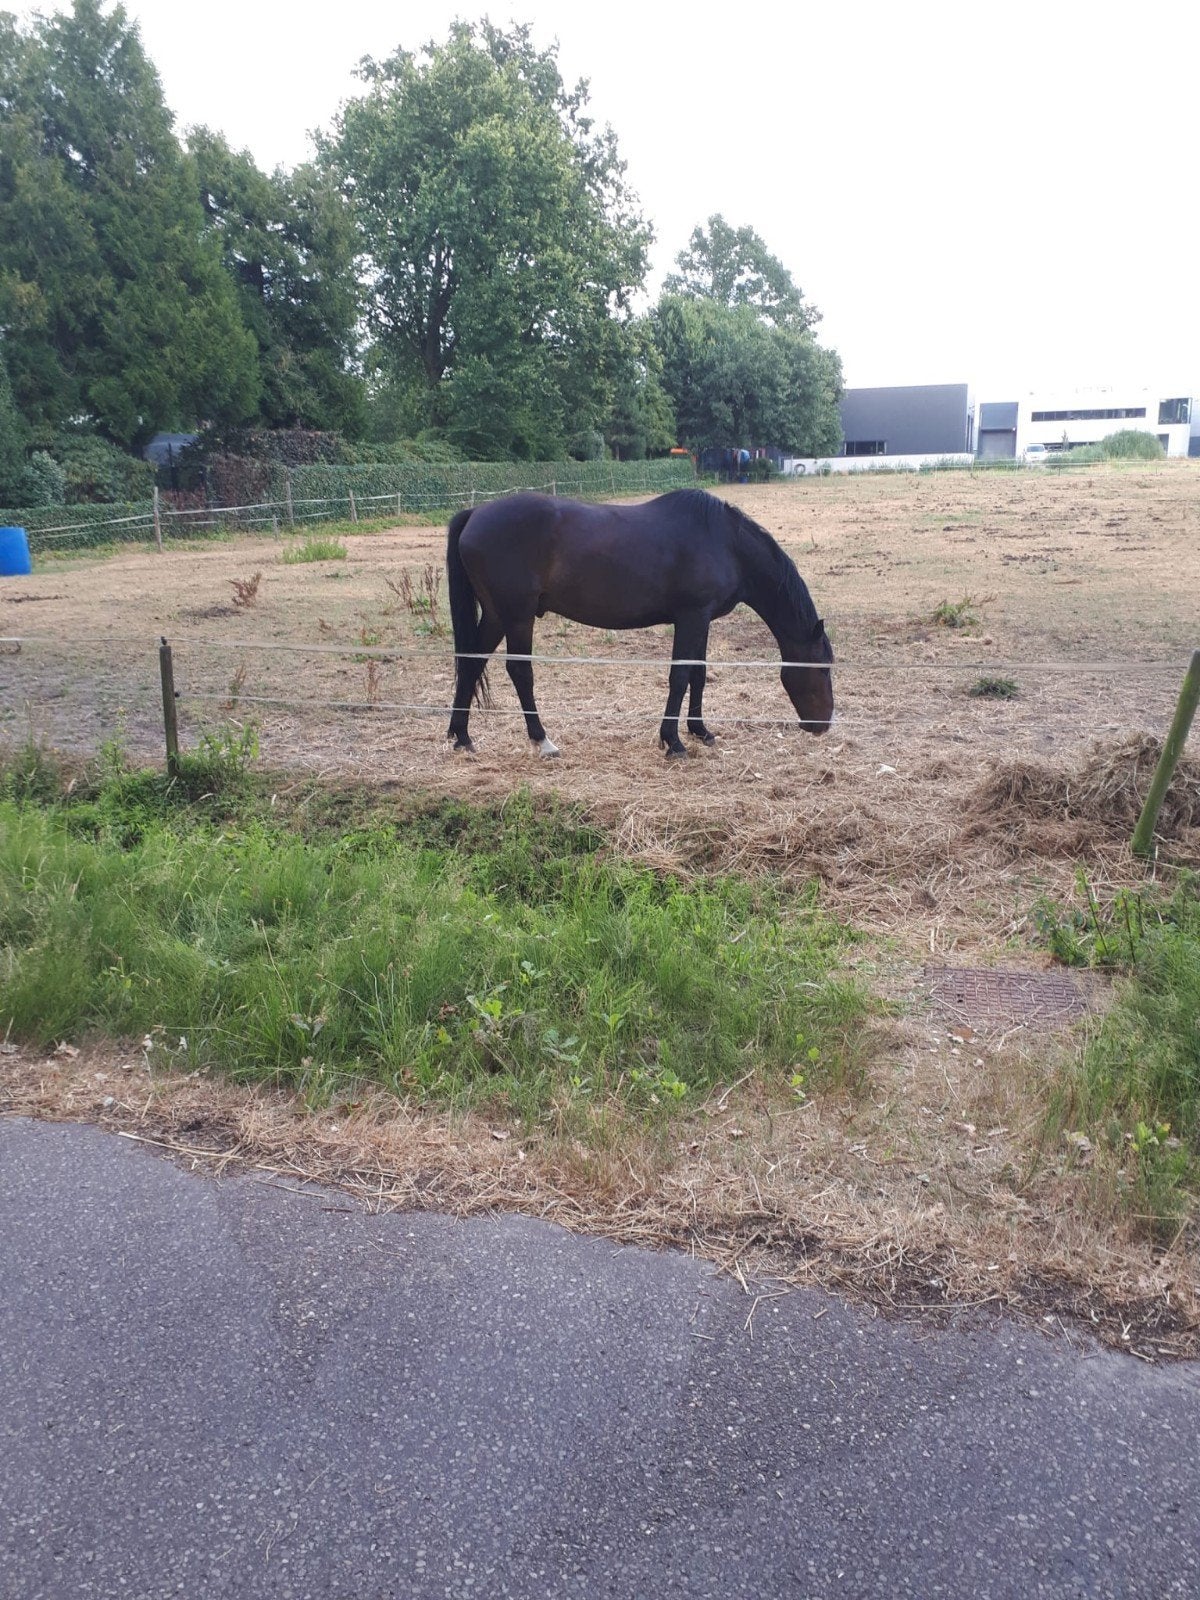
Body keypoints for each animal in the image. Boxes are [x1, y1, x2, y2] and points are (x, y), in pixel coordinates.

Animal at [445, 487, 833, 758]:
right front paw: (673, 741)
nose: (823, 724)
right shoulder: (691, 616)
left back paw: (462, 736)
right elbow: (680, 676)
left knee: (471, 663)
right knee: (520, 672)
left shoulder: (702, 619)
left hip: (496, 616)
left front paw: (700, 730)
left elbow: (699, 673)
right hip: (518, 616)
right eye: (822, 667)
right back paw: (542, 740)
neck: (726, 543)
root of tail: (475, 512)